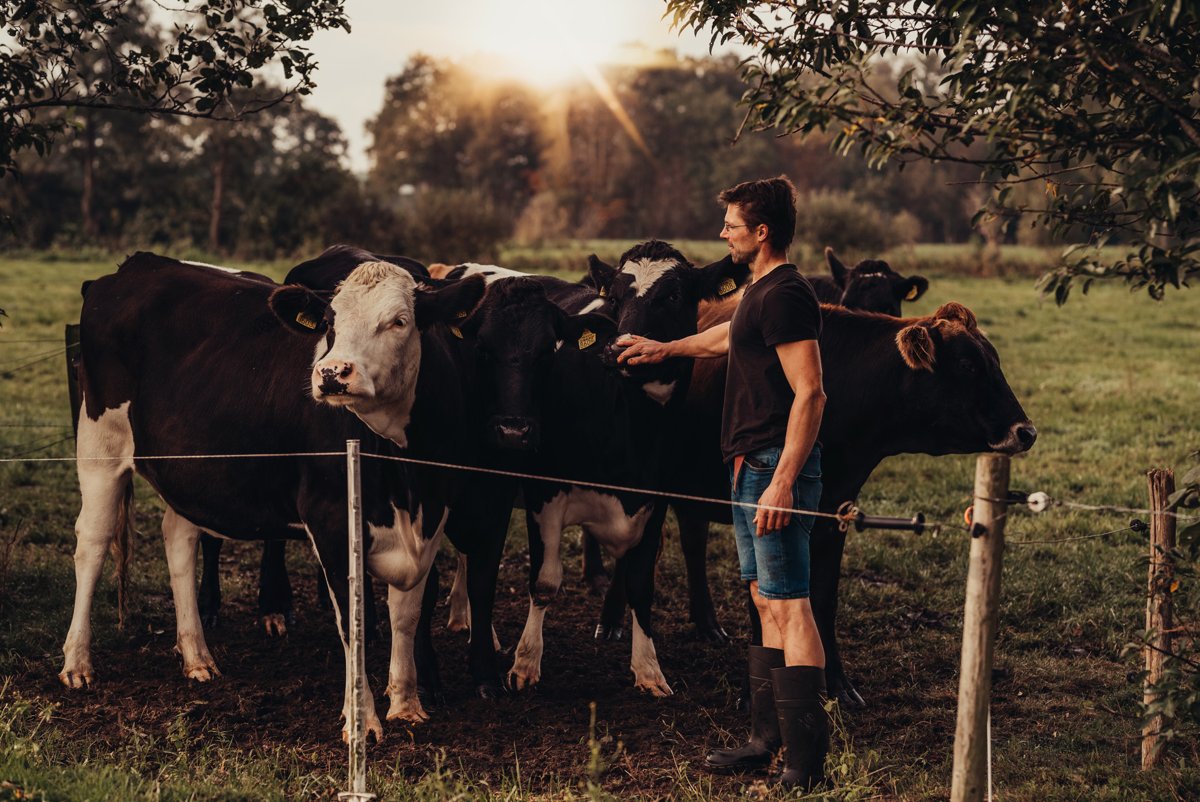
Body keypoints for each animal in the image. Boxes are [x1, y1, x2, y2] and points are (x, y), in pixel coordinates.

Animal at [60, 253, 604, 734]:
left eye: (400, 321)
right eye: (330, 323)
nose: (330, 373)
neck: (403, 470)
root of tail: (136, 265)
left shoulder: (430, 520)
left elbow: (407, 612)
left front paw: (406, 703)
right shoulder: (332, 519)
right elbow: (353, 620)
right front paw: (362, 721)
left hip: (189, 471)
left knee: (179, 539)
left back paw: (196, 656)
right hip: (100, 444)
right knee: (92, 543)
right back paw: (78, 662)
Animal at [595, 296, 1036, 705]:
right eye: (968, 366)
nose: (1026, 431)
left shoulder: (833, 513)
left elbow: (823, 599)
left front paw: (838, 684)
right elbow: (763, 600)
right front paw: (756, 692)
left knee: (690, 539)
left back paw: (707, 624)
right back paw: (612, 621)